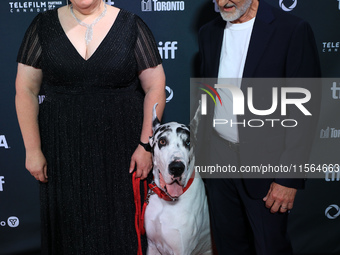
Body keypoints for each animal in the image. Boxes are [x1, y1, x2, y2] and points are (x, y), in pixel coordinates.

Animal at [144, 103, 212, 255]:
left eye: (188, 142)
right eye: (162, 141)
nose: (177, 168)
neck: (166, 202)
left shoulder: (181, 250)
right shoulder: (152, 246)